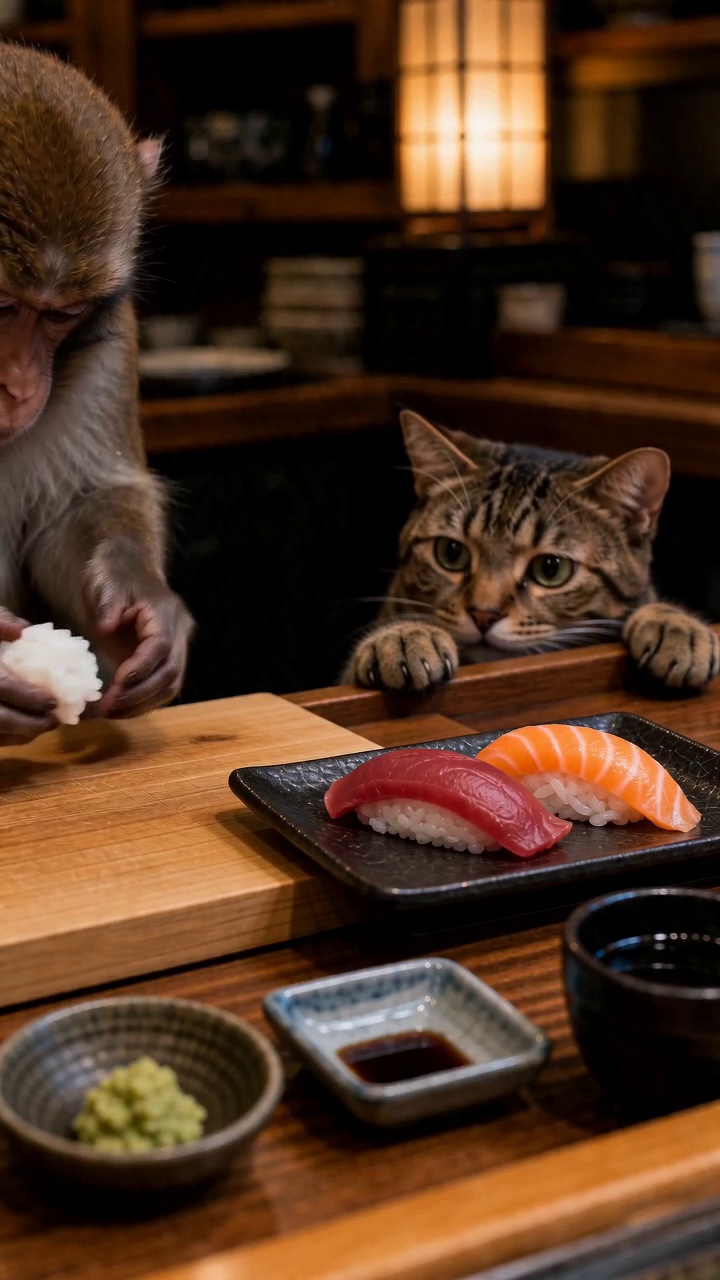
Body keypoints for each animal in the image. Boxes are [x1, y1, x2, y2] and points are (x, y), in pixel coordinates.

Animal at [0, 43, 193, 745]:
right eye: (0, 306)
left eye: (61, 314)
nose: (18, 384)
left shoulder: (112, 333)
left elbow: (78, 502)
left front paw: (145, 605)